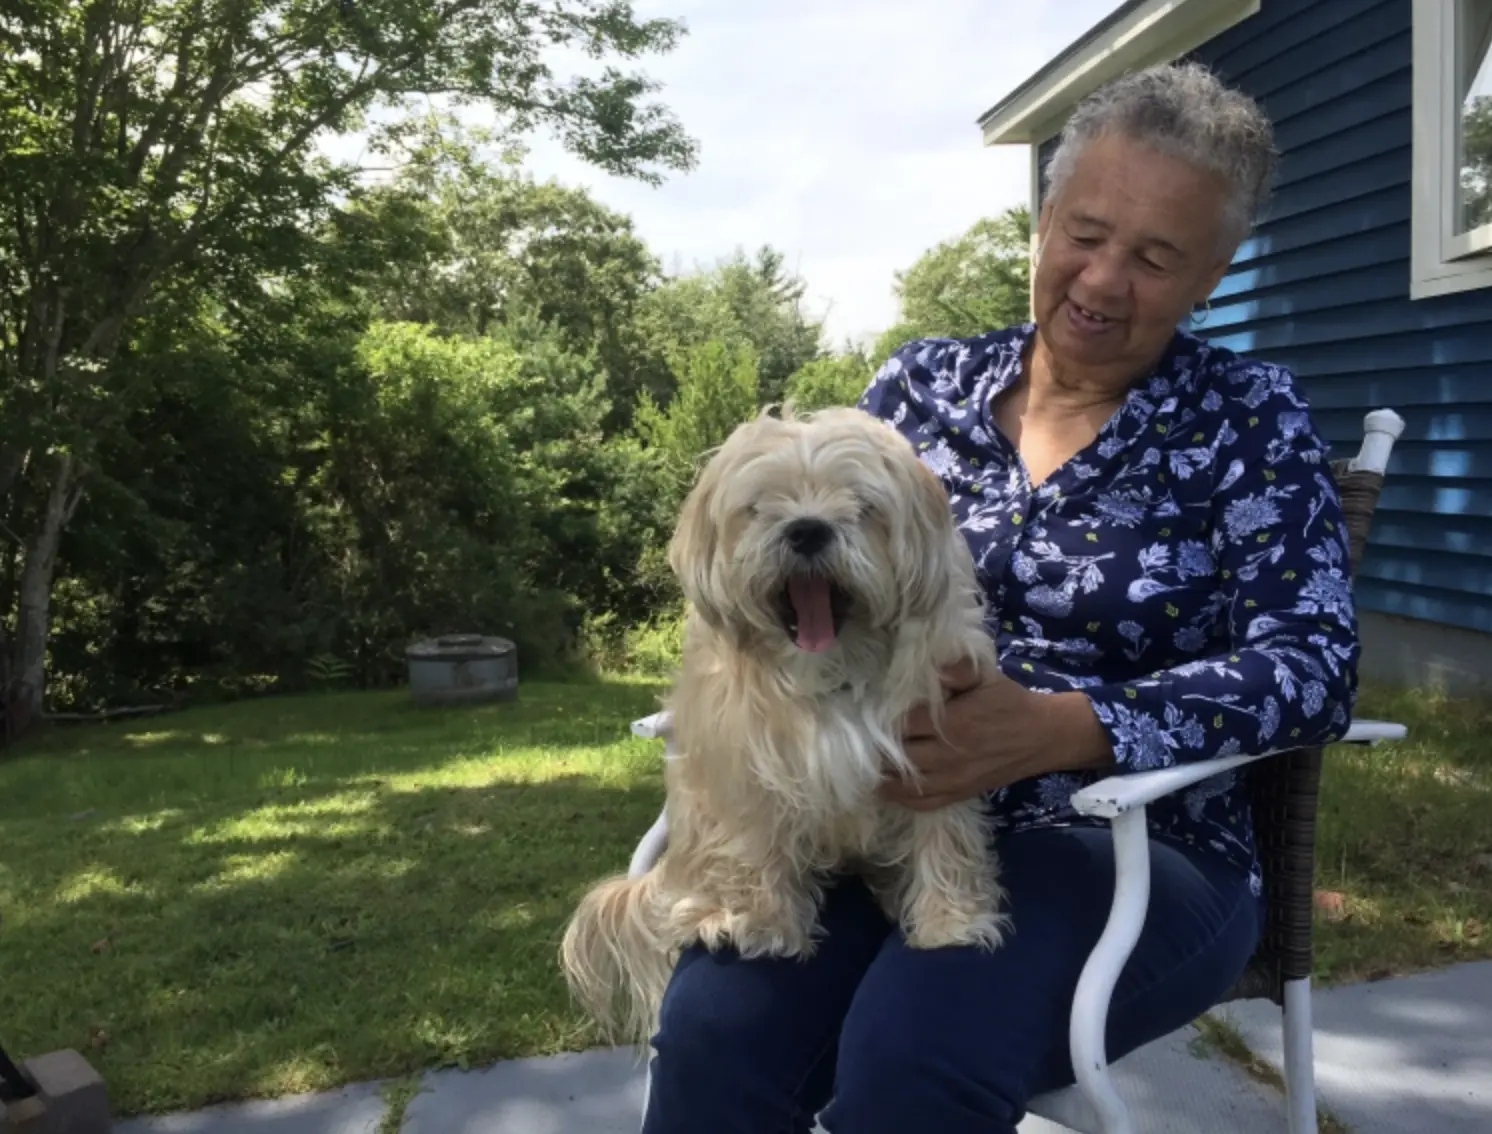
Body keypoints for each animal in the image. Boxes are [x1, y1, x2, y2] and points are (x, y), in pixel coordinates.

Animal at [560, 405, 1014, 1044]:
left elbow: (944, 835)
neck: (832, 673)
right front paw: (765, 926)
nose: (807, 529)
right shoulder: (747, 766)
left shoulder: (941, 753)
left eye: (862, 505)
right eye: (761, 506)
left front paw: (952, 920)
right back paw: (708, 913)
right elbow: (755, 844)